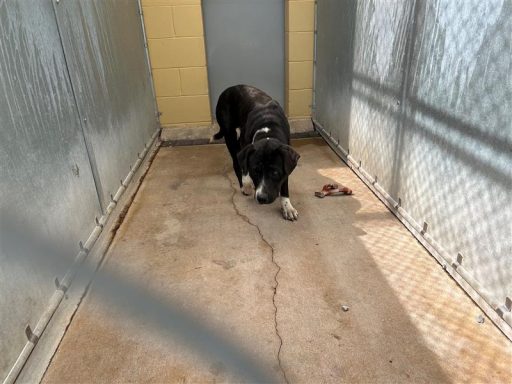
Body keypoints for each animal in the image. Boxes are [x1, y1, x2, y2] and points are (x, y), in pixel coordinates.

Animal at [212, 85, 300, 220]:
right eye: (255, 171)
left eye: (275, 172)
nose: (261, 198)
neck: (268, 128)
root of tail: (229, 89)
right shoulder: (246, 148)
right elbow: (245, 168)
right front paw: (247, 183)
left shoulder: (287, 162)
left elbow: (284, 185)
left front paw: (287, 207)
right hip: (229, 133)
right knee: (236, 159)